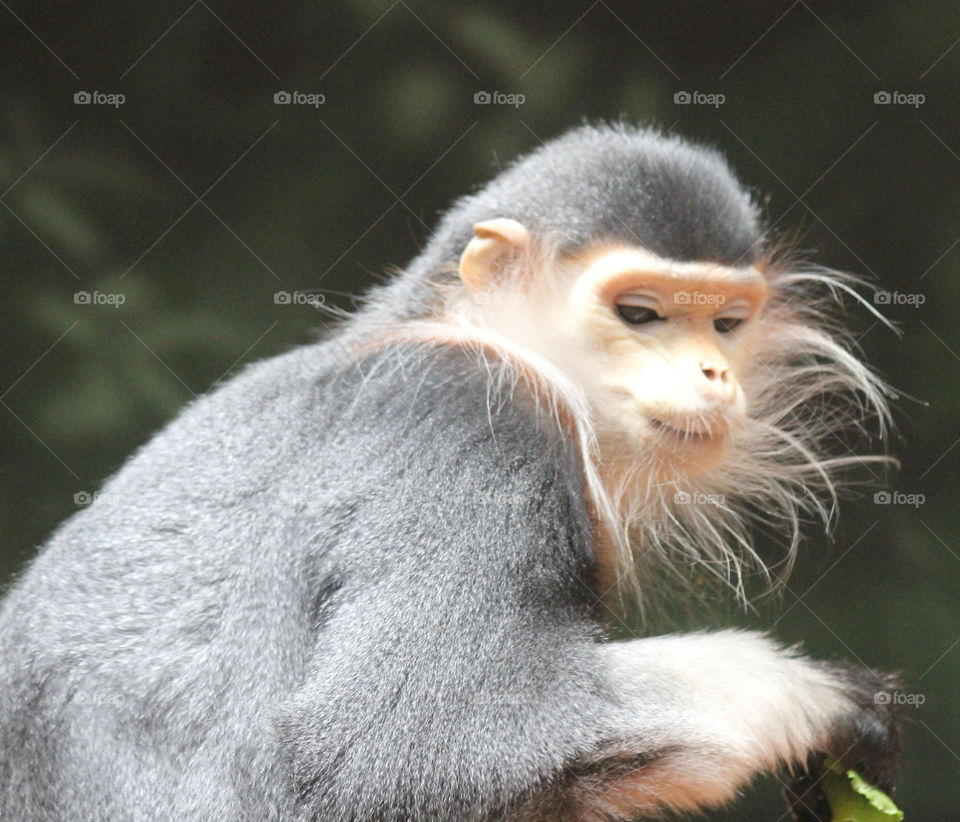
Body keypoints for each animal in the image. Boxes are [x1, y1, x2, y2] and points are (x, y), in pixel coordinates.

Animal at [0, 123, 899, 821]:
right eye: (640, 314)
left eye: (726, 324)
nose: (714, 372)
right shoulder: (472, 415)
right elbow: (408, 745)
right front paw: (810, 697)